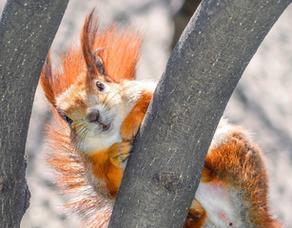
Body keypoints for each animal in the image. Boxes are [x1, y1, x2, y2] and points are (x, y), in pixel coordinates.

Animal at [40, 11, 280, 228]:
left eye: (100, 85)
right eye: (67, 119)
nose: (93, 115)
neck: (112, 134)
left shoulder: (148, 89)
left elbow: (145, 100)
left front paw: (130, 123)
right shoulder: (95, 173)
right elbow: (110, 188)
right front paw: (116, 154)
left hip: (232, 147)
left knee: (227, 166)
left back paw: (206, 167)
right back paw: (195, 212)